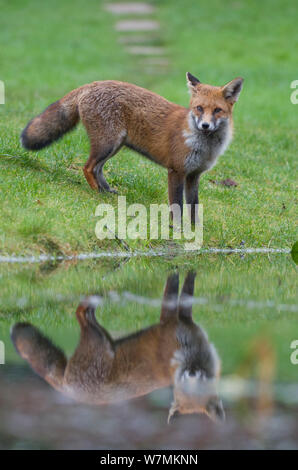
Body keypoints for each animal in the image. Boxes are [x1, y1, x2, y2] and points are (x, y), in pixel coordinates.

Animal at [10, 272, 224, 422]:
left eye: (200, 386)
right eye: (186, 386)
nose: (192, 372)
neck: (187, 352)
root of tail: (67, 390)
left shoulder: (186, 321)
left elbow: (187, 294)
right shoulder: (169, 322)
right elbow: (173, 292)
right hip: (99, 340)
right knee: (79, 312)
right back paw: (95, 297)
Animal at [21, 74, 242, 224]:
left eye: (217, 110)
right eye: (199, 108)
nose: (205, 125)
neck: (204, 146)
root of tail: (92, 84)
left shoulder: (194, 175)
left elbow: (194, 207)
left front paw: (195, 229)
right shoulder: (176, 171)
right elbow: (177, 205)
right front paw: (177, 228)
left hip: (114, 145)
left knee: (97, 168)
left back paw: (106, 190)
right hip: (107, 143)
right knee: (88, 167)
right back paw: (96, 192)